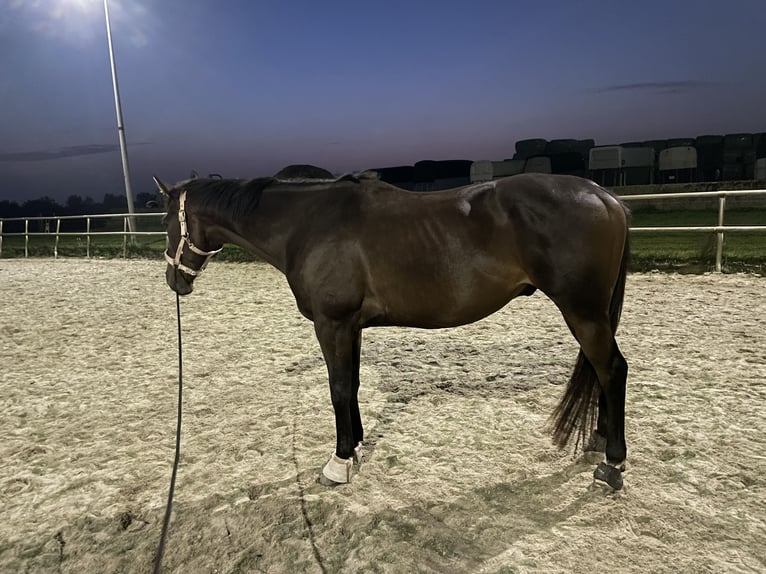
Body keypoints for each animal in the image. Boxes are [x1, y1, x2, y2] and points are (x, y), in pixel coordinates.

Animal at [154, 171, 632, 490]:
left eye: (166, 222)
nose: (174, 281)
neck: (306, 224)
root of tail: (605, 196)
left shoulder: (332, 324)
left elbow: (338, 389)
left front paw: (338, 462)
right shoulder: (352, 326)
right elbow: (352, 384)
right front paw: (357, 447)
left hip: (583, 312)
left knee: (612, 370)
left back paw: (612, 465)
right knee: (602, 371)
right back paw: (598, 441)